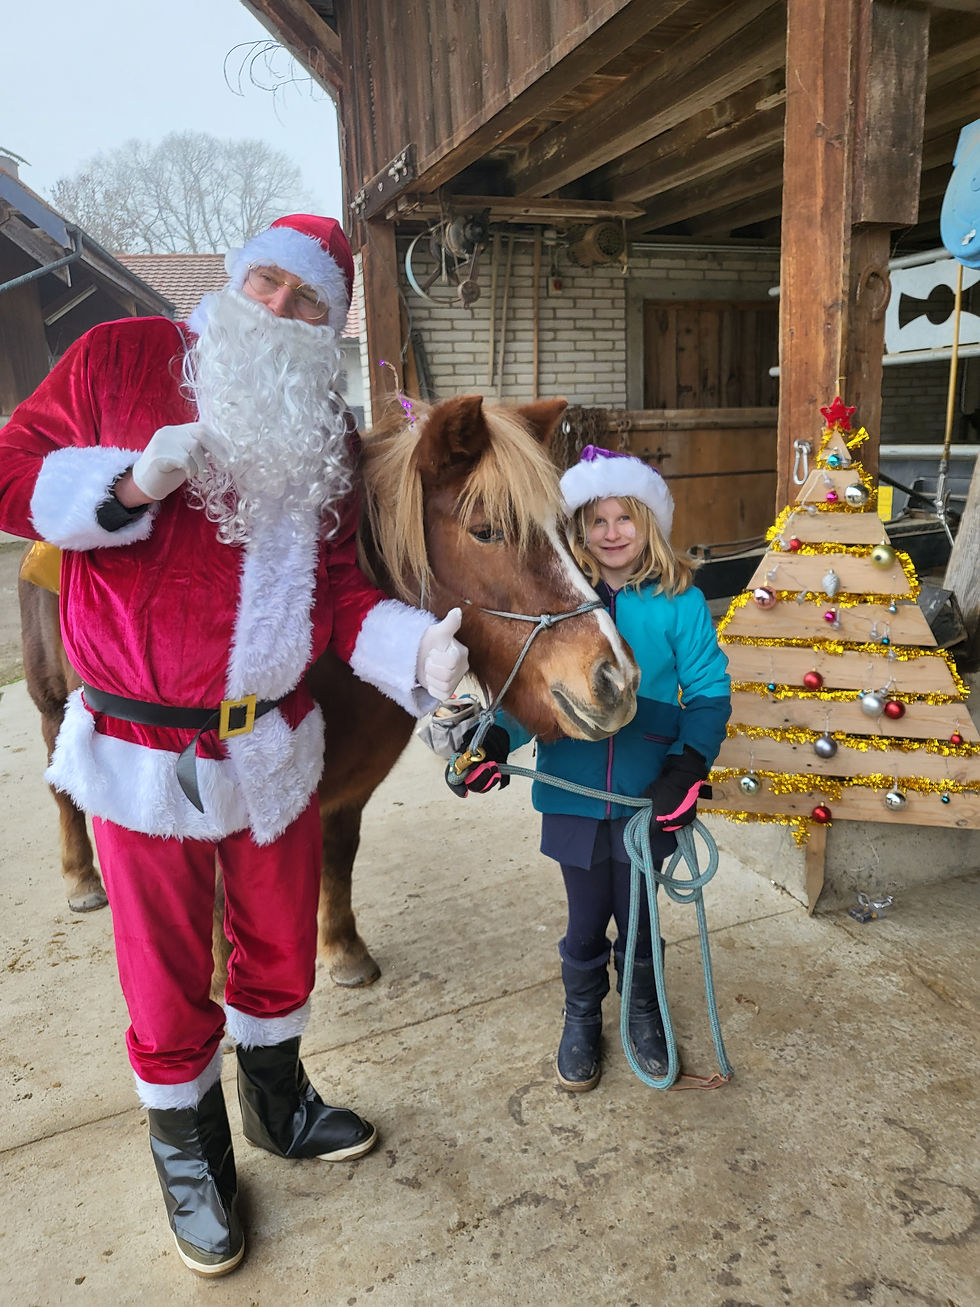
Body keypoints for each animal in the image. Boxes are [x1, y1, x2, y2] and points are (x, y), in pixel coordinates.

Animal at [18, 393, 640, 986]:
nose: (615, 681)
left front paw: (342, 948)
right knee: (62, 787)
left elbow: (338, 857)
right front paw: (217, 976)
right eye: (485, 531)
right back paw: (81, 878)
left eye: (563, 530)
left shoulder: (350, 786)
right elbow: (216, 893)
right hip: (56, 707)